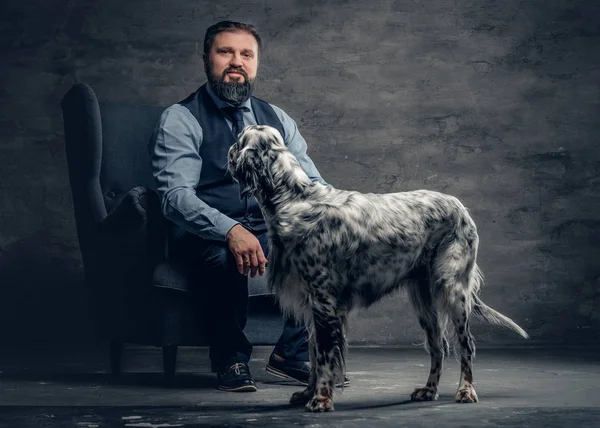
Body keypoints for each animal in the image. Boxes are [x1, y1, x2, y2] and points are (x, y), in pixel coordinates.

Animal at [227, 123, 528, 412]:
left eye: (239, 140)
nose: (229, 153)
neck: (294, 200)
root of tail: (460, 207)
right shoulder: (312, 305)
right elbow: (313, 353)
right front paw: (308, 393)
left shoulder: (324, 301)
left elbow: (324, 357)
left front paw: (321, 400)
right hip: (423, 302)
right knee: (438, 346)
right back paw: (429, 390)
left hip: (454, 290)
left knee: (466, 346)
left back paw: (466, 391)